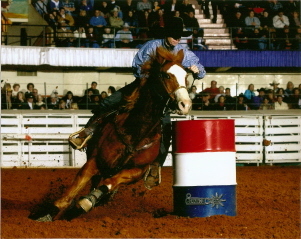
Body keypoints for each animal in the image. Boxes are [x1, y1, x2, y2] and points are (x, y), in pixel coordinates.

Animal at [29, 46, 191, 222]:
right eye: (166, 75)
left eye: (186, 77)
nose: (185, 104)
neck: (134, 132)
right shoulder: (95, 160)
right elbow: (75, 186)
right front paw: (47, 213)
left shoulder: (136, 172)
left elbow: (111, 182)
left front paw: (87, 202)